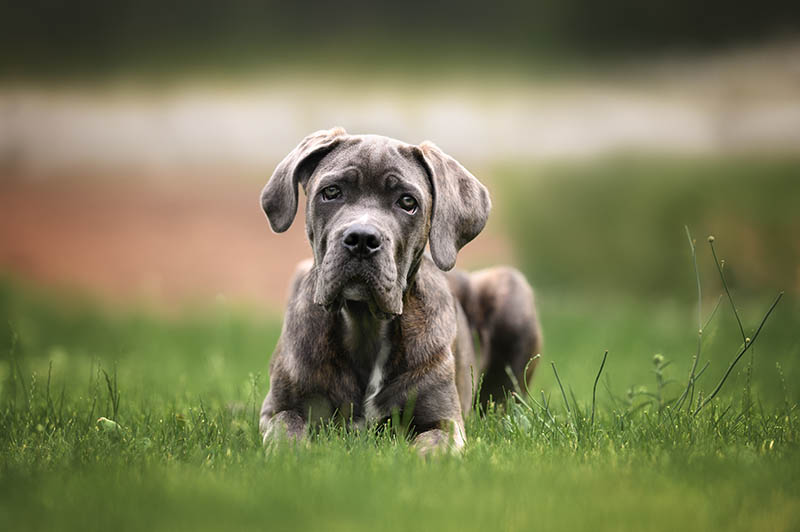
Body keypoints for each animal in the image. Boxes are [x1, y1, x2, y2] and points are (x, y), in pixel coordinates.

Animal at [260, 128, 540, 454]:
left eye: (407, 202)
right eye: (331, 192)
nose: (361, 239)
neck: (365, 324)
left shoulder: (445, 422)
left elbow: (431, 447)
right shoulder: (278, 408)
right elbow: (286, 428)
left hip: (511, 290)